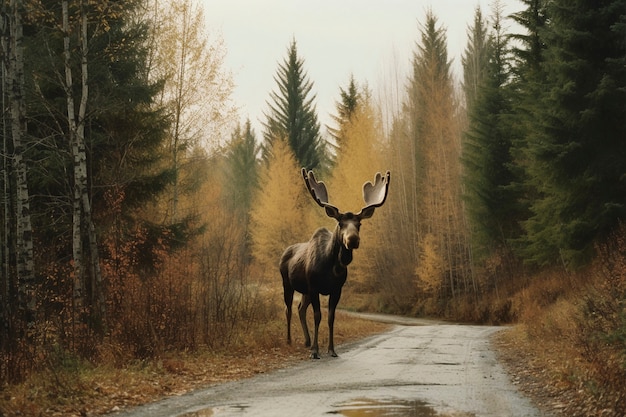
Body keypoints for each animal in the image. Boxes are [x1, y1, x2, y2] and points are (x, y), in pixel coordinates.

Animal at [280, 167, 388, 356]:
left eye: (359, 224)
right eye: (340, 223)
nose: (352, 239)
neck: (332, 267)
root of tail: (284, 252)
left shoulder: (336, 289)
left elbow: (331, 318)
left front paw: (331, 349)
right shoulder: (314, 287)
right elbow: (318, 316)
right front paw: (315, 351)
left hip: (304, 290)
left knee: (301, 308)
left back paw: (307, 341)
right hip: (287, 283)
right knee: (289, 309)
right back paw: (289, 340)